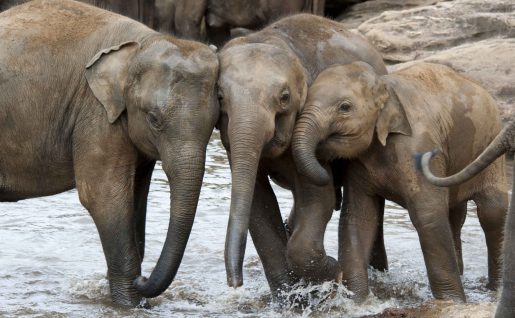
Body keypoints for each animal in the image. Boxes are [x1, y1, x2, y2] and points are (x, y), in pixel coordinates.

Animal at [0, 0, 219, 308]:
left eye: (216, 122)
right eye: (154, 119)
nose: (143, 279)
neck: (141, 43)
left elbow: (135, 197)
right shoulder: (97, 113)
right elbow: (104, 196)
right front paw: (131, 304)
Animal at [216, 13, 390, 298]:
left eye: (285, 97)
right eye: (220, 97)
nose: (235, 283)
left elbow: (318, 196)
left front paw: (333, 275)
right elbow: (258, 203)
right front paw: (291, 298)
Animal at [292, 62, 510, 304]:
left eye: (345, 107)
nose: (327, 170)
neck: (384, 85)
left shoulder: (419, 149)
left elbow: (428, 217)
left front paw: (452, 302)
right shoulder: (358, 164)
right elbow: (359, 217)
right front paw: (357, 301)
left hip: (490, 145)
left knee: (492, 211)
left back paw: (496, 289)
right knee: (455, 215)